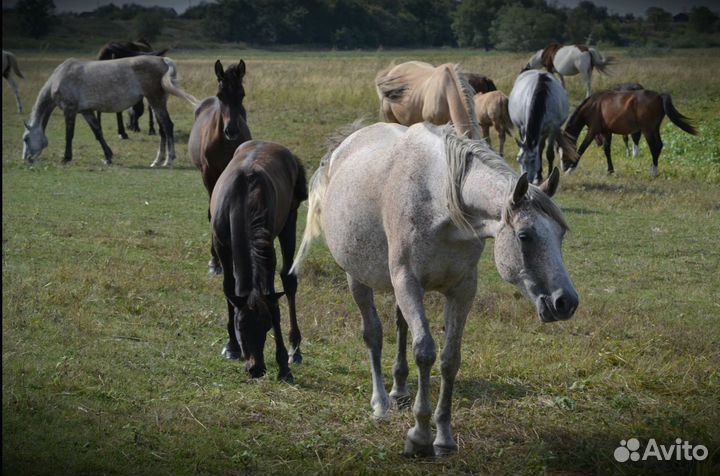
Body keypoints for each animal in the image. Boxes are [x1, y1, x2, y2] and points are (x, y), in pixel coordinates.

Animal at [22, 56, 199, 167]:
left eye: (26, 139)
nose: (26, 159)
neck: (60, 78)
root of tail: (163, 60)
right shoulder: (86, 111)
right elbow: (98, 132)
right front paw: (108, 157)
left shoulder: (69, 110)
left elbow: (69, 135)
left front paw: (66, 158)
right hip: (156, 103)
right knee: (162, 130)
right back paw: (158, 160)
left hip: (156, 100)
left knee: (168, 126)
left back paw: (169, 160)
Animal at [188, 59, 252, 277]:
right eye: (220, 95)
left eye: (242, 94)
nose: (231, 131)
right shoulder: (209, 174)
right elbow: (212, 211)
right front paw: (215, 261)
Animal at [210, 140, 307, 381]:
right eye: (240, 327)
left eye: (266, 327)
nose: (256, 368)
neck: (241, 199)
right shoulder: (221, 245)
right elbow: (229, 288)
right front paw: (231, 347)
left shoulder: (266, 249)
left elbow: (272, 299)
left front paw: (284, 366)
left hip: (290, 218)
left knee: (289, 279)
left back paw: (295, 349)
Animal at [290, 121, 578, 456]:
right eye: (524, 235)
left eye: (560, 234)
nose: (565, 302)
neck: (440, 201)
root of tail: (343, 147)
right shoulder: (407, 281)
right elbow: (425, 352)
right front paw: (420, 435)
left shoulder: (462, 291)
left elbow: (450, 359)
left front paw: (444, 436)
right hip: (357, 278)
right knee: (374, 334)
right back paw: (381, 404)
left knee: (401, 326)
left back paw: (400, 389)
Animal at [563, 89, 697, 177]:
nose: (563, 167)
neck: (593, 105)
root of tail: (659, 96)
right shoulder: (607, 132)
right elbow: (607, 151)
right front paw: (610, 170)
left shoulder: (592, 130)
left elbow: (582, 148)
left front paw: (571, 169)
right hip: (654, 129)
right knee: (659, 146)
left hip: (648, 130)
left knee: (654, 147)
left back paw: (653, 172)